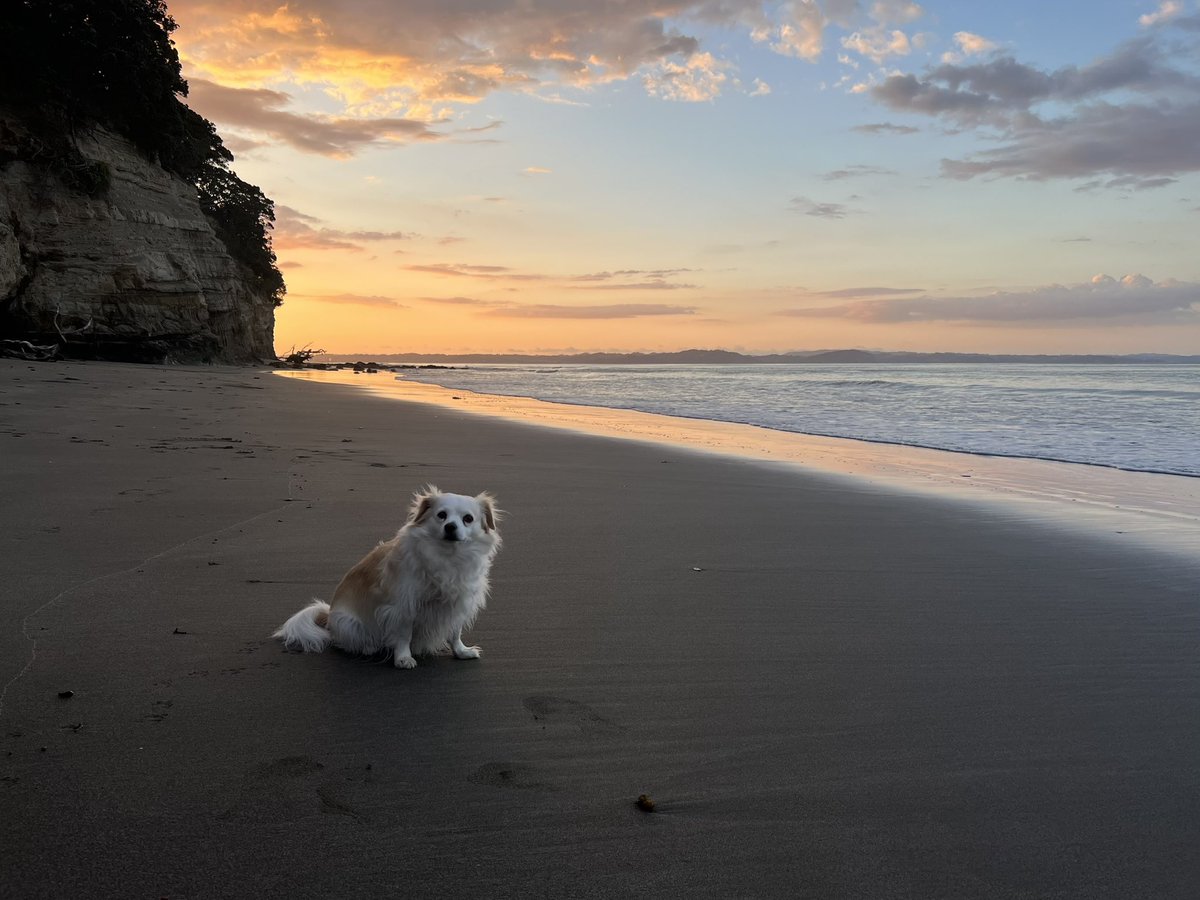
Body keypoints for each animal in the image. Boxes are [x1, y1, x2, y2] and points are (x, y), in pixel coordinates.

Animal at [274, 487, 499, 672]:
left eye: (468, 519)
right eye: (441, 515)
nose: (451, 527)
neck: (448, 556)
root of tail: (328, 614)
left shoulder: (458, 603)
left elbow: (454, 632)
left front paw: (461, 651)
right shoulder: (404, 606)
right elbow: (404, 635)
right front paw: (403, 658)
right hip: (348, 622)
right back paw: (368, 646)